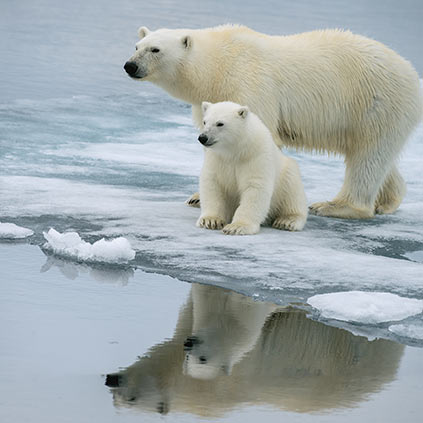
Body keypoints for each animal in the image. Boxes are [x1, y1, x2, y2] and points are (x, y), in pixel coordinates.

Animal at [124, 24, 422, 220]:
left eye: (155, 49)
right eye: (137, 46)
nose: (130, 66)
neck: (217, 66)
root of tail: (412, 73)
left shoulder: (248, 84)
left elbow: (260, 138)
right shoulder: (208, 100)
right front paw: (197, 196)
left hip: (376, 101)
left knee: (368, 156)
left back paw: (335, 206)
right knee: (376, 155)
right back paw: (387, 202)